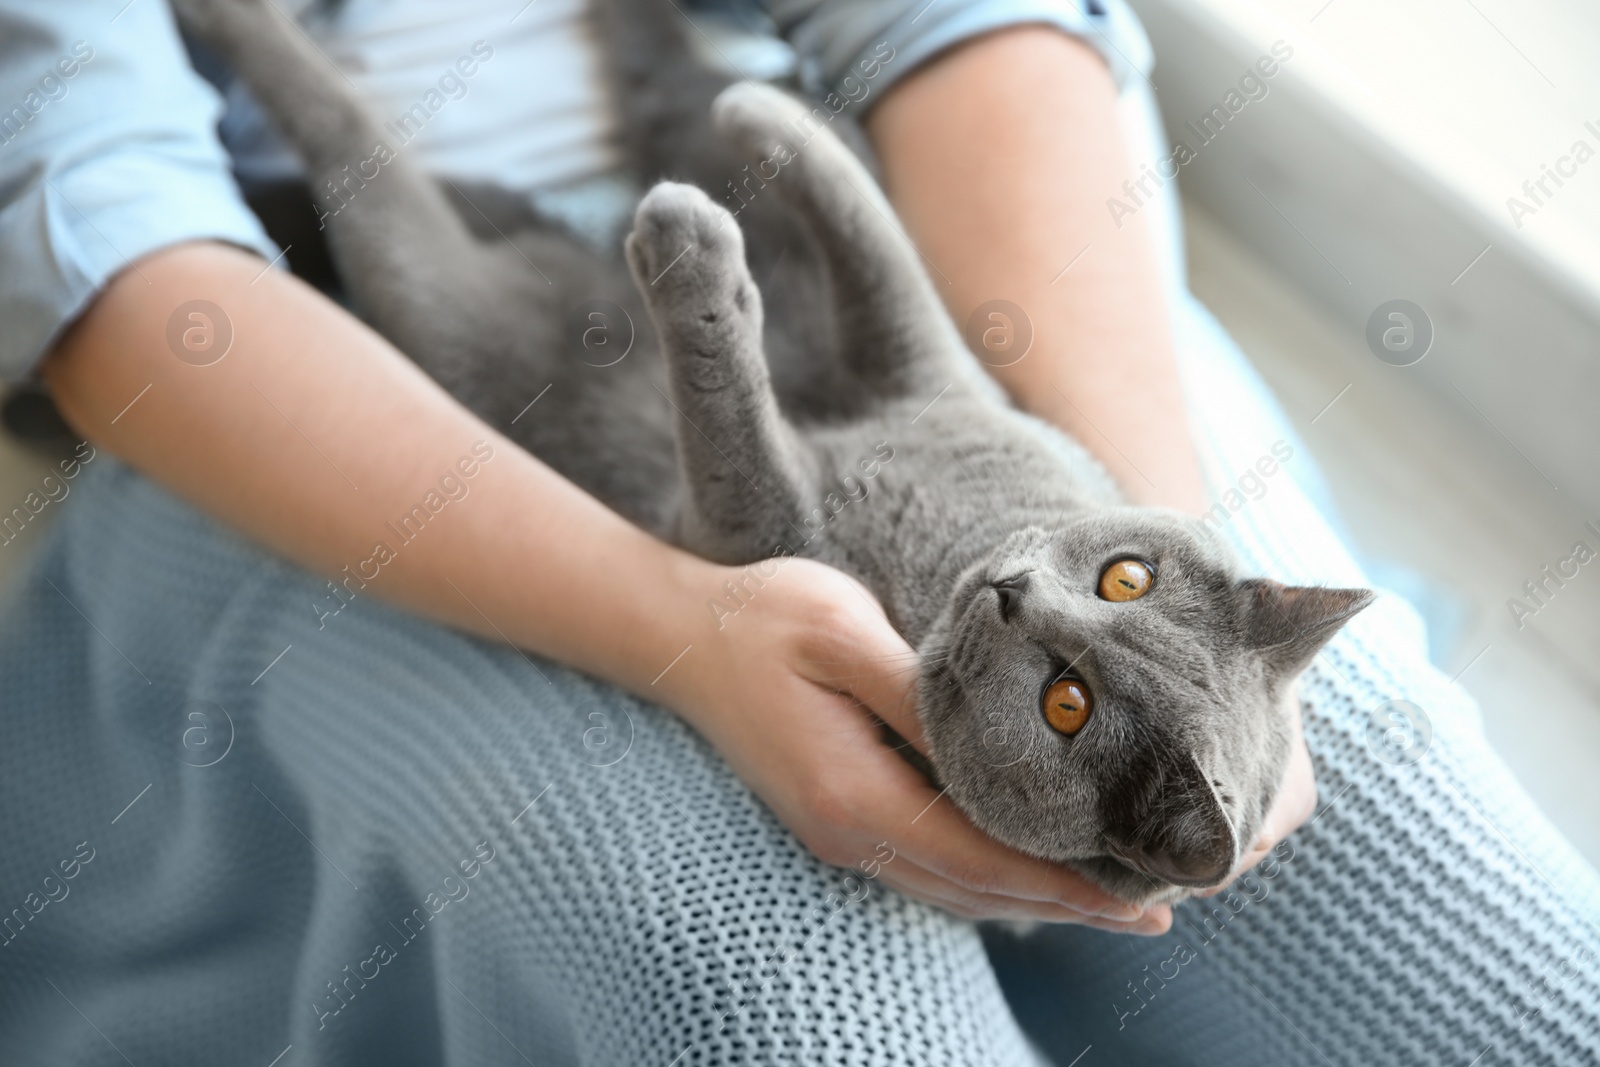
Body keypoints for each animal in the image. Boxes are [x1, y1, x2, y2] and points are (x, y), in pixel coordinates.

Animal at [178, 0, 1376, 908]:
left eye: (1065, 704)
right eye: (1127, 574)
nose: (1014, 595)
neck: (947, 536)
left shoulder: (735, 534)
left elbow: (739, 433)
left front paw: (695, 259)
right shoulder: (934, 370)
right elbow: (875, 247)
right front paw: (771, 119)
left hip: (453, 308)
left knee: (357, 153)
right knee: (658, 92)